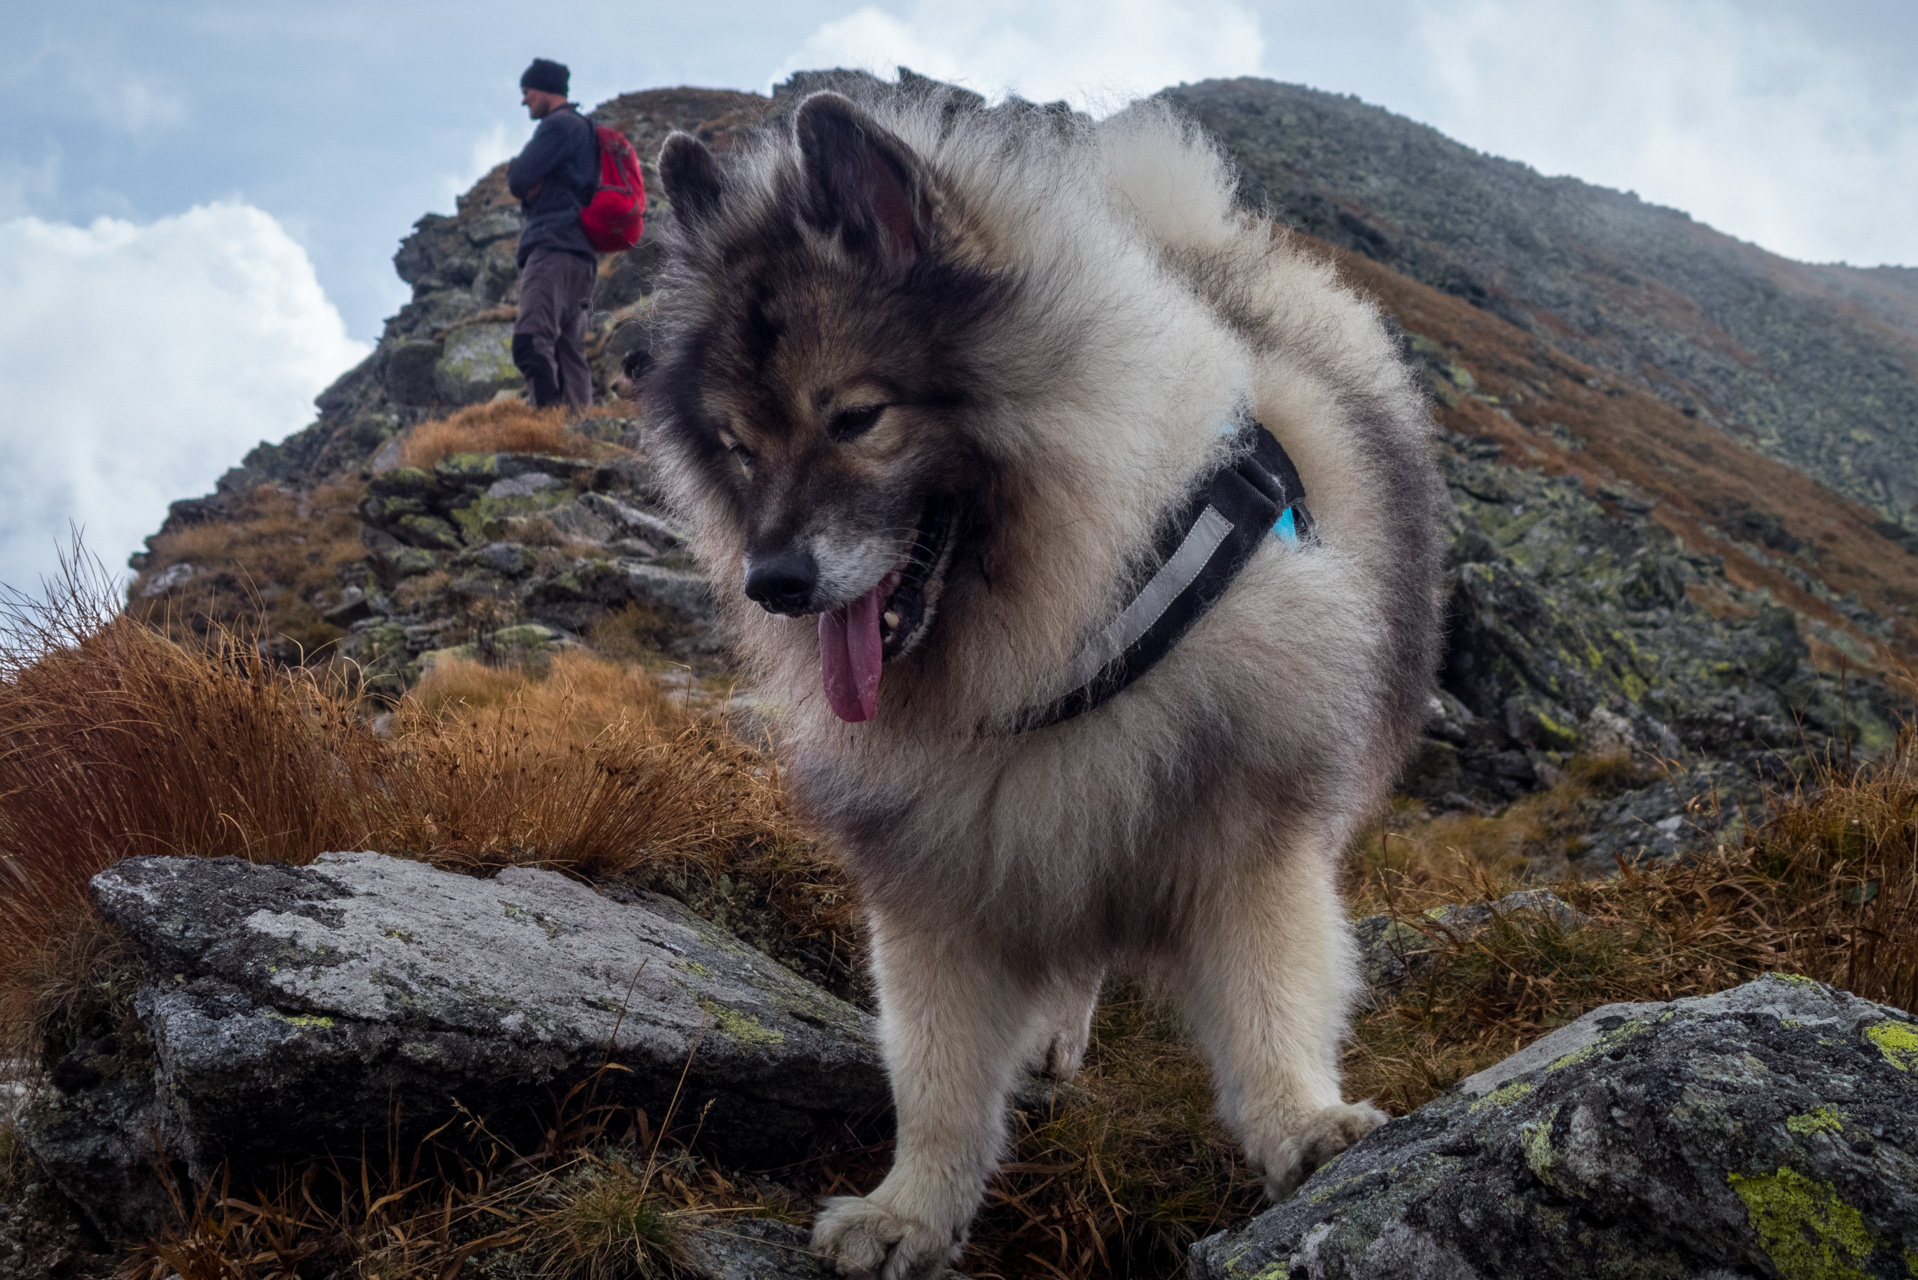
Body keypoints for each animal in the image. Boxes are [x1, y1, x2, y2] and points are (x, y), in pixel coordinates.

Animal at [644, 84, 1442, 1274]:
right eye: (740, 447)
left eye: (856, 417)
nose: (774, 580)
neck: (1052, 644)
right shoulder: (944, 866)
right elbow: (933, 1069)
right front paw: (910, 1210)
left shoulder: (1244, 824)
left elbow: (1271, 986)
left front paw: (1301, 1124)